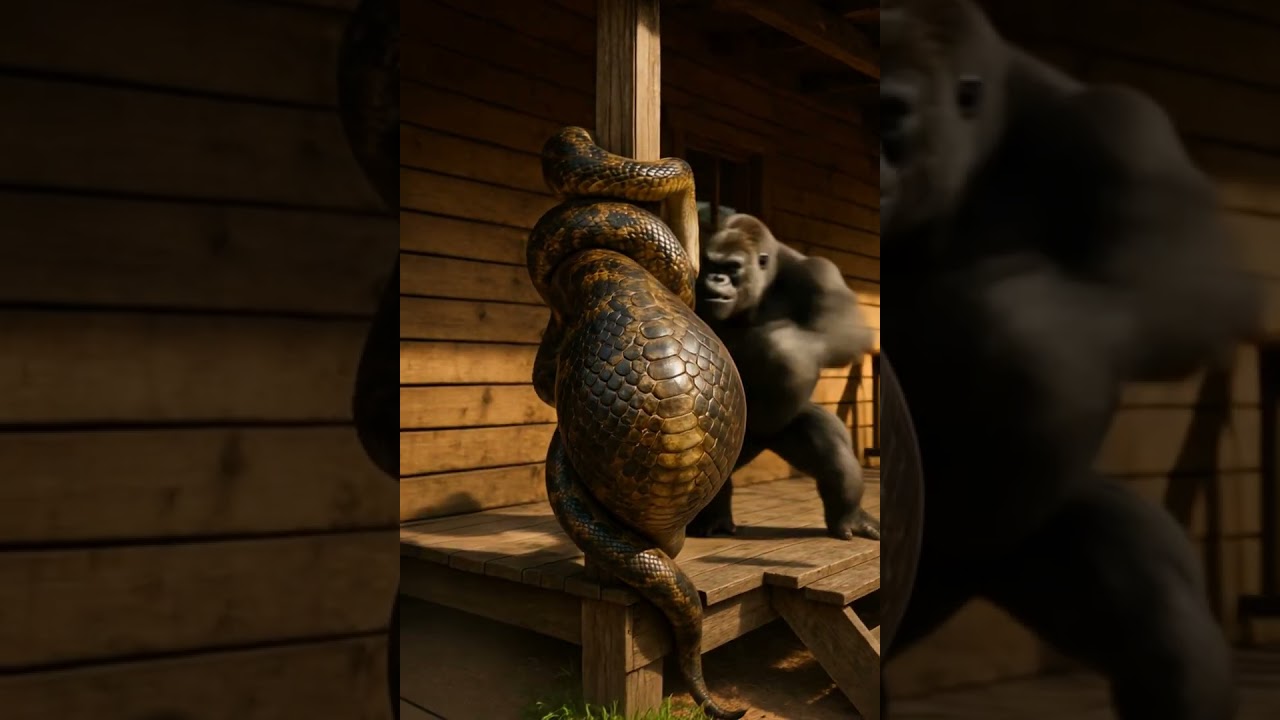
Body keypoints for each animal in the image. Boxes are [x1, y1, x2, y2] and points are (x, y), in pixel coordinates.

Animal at [687, 213, 881, 542]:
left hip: (770, 433)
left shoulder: (819, 273)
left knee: (829, 446)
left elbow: (846, 332)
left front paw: (781, 345)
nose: (715, 279)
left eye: (732, 268)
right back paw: (714, 515)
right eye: (712, 265)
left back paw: (849, 515)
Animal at [879, 1, 1262, 718]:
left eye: (891, 114)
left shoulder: (1120, 131)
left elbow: (1185, 287)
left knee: (1158, 616)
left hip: (966, 560)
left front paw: (1011, 319)